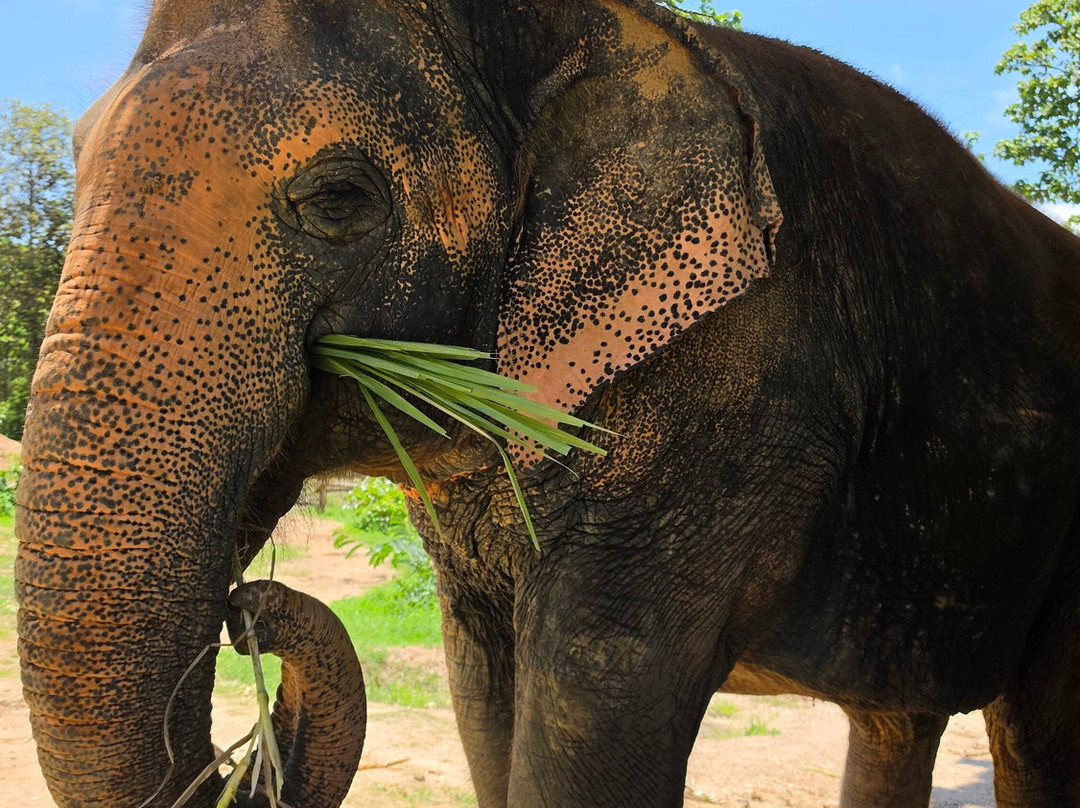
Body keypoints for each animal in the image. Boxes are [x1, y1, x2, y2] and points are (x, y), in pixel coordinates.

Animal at [14, 0, 1080, 806]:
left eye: (339, 198)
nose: (246, 611)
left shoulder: (738, 389)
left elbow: (593, 694)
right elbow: (484, 690)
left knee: (1035, 732)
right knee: (901, 720)